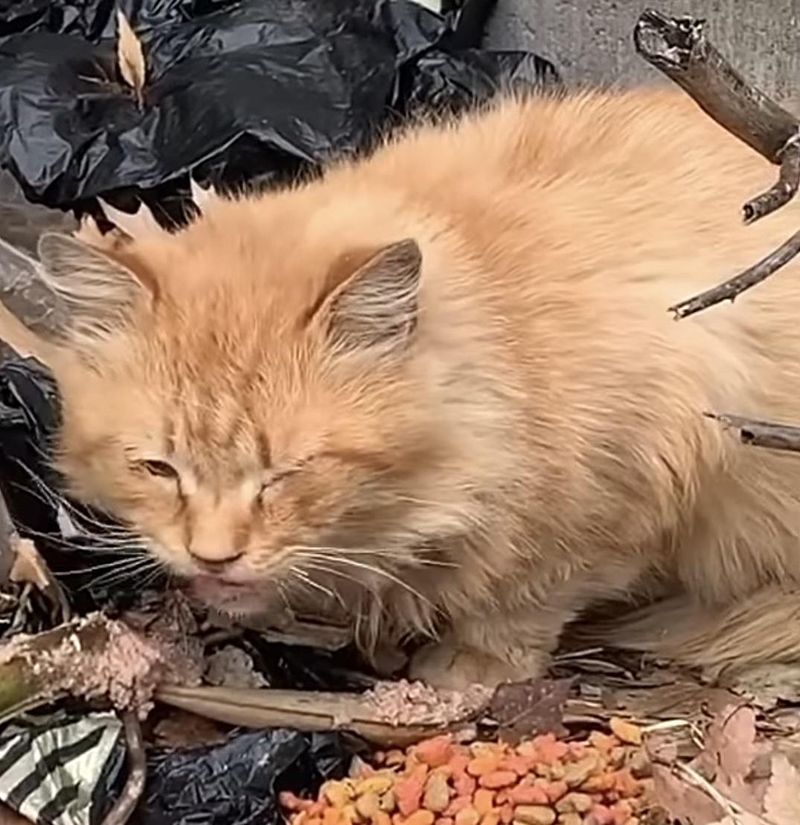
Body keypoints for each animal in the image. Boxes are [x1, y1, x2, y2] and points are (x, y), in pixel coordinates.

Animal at [4, 87, 800, 684]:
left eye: (287, 474)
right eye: (158, 468)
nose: (213, 556)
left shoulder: (633, 481)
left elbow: (529, 595)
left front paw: (473, 662)